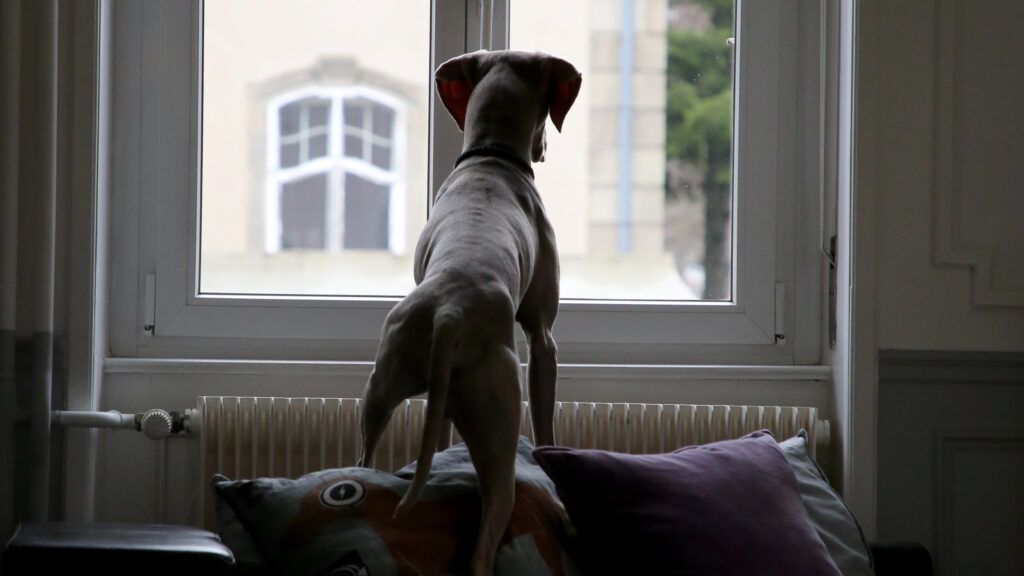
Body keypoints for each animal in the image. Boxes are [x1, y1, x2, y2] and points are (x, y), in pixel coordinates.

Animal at [358, 50, 585, 573]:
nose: (544, 150)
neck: (490, 158)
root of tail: (449, 316)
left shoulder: (437, 403)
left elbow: (438, 439)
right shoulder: (542, 339)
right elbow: (546, 426)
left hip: (383, 386)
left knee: (363, 458)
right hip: (499, 422)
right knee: (489, 528)